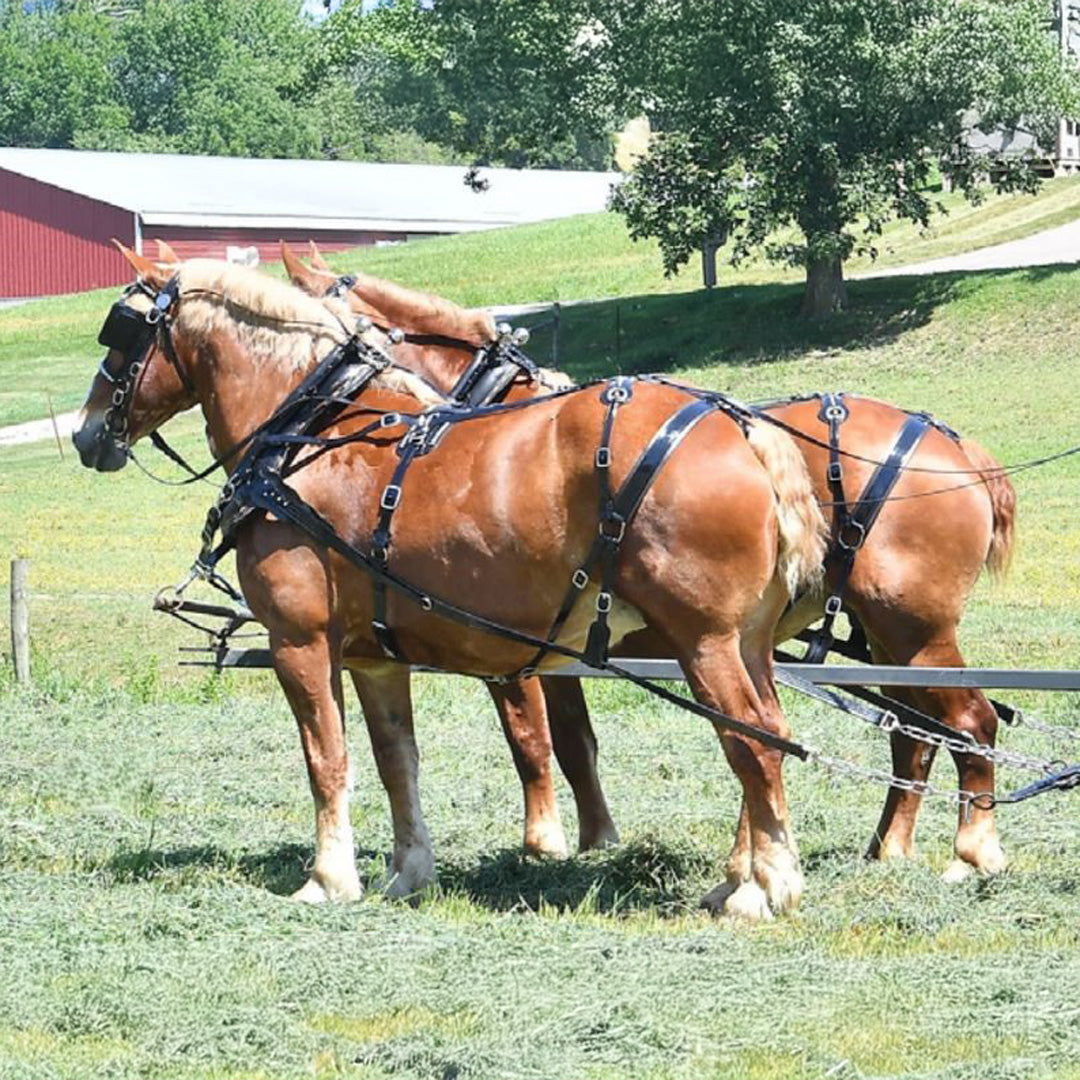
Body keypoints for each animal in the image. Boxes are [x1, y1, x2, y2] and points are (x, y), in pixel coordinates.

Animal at [71, 252, 825, 920]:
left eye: (120, 328)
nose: (84, 434)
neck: (307, 434)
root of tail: (741, 426)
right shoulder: (374, 656)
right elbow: (395, 760)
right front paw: (409, 872)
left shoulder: (301, 640)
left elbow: (328, 757)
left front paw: (329, 878)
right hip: (746, 642)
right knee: (769, 731)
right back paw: (740, 879)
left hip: (705, 641)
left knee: (752, 742)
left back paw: (765, 888)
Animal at [282, 240, 1015, 881]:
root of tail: (965, 453)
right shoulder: (558, 647)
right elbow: (575, 737)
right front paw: (595, 837)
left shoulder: (510, 646)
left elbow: (534, 738)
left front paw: (548, 842)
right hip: (889, 635)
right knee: (913, 732)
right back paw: (886, 846)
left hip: (914, 630)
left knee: (964, 724)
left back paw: (964, 850)